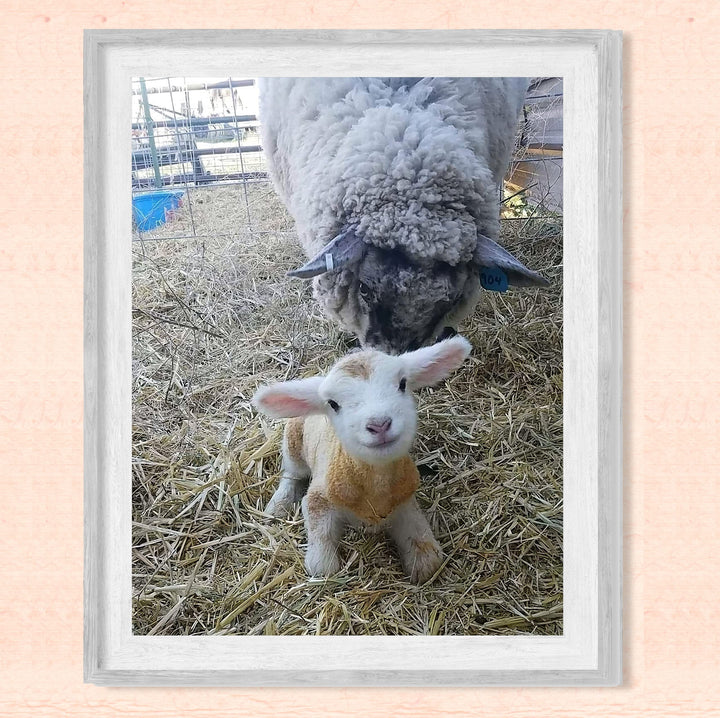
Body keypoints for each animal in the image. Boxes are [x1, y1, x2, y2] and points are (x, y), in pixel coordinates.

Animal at [252, 334, 472, 583]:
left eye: (402, 384)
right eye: (333, 404)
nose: (379, 424)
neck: (375, 487)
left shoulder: (404, 500)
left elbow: (426, 554)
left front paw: (422, 562)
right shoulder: (319, 499)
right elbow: (322, 564)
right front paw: (323, 565)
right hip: (293, 442)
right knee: (292, 474)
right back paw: (278, 505)